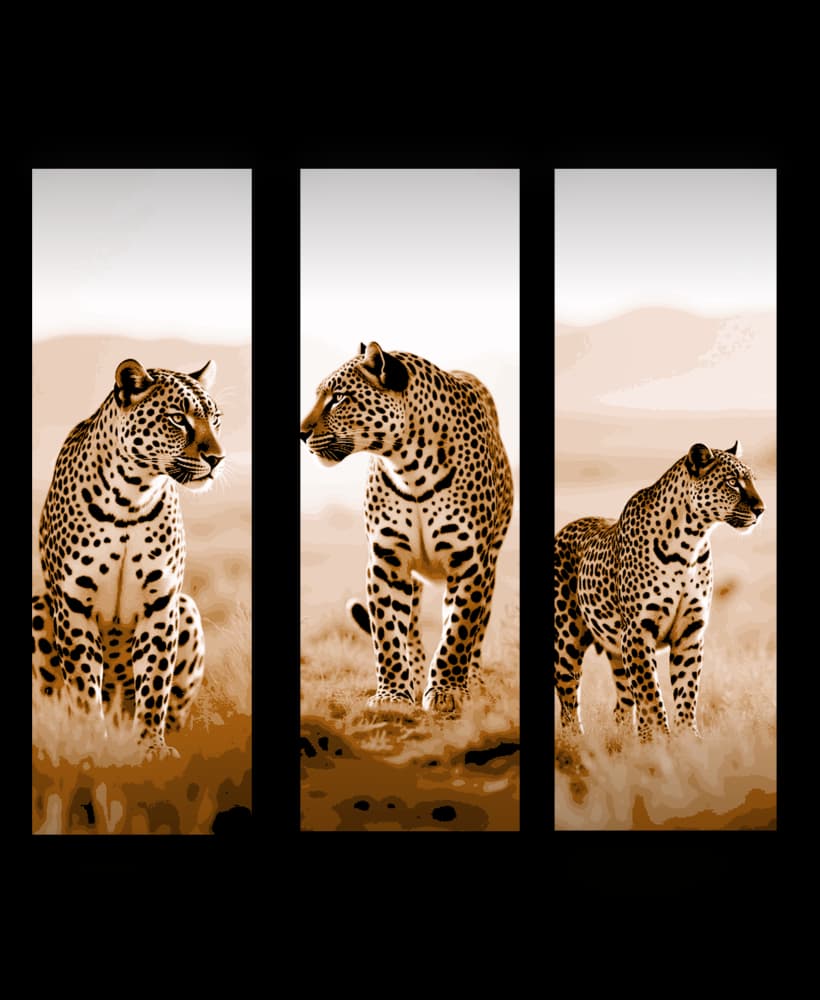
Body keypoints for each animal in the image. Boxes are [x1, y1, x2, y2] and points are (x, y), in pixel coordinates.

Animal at [32, 358, 225, 761]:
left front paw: (150, 745)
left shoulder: (161, 604)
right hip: (39, 608)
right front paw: (92, 743)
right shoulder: (73, 604)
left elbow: (154, 683)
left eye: (215, 420)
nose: (217, 458)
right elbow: (84, 687)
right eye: (178, 419)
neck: (131, 497)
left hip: (187, 608)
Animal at [300, 342, 513, 715]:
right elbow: (387, 632)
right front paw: (393, 695)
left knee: (475, 629)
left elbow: (457, 632)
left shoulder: (470, 562)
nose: (300, 432)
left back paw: (471, 681)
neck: (411, 467)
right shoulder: (387, 560)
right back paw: (414, 676)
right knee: (411, 626)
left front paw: (447, 691)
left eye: (338, 398)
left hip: (490, 564)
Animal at [554, 441, 765, 742]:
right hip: (567, 641)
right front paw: (660, 739)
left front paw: (687, 739)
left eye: (751, 480)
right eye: (732, 482)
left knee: (621, 703)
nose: (761, 509)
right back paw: (576, 741)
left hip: (616, 651)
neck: (691, 542)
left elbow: (686, 690)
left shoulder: (689, 632)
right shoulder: (638, 631)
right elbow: (650, 692)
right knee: (568, 701)